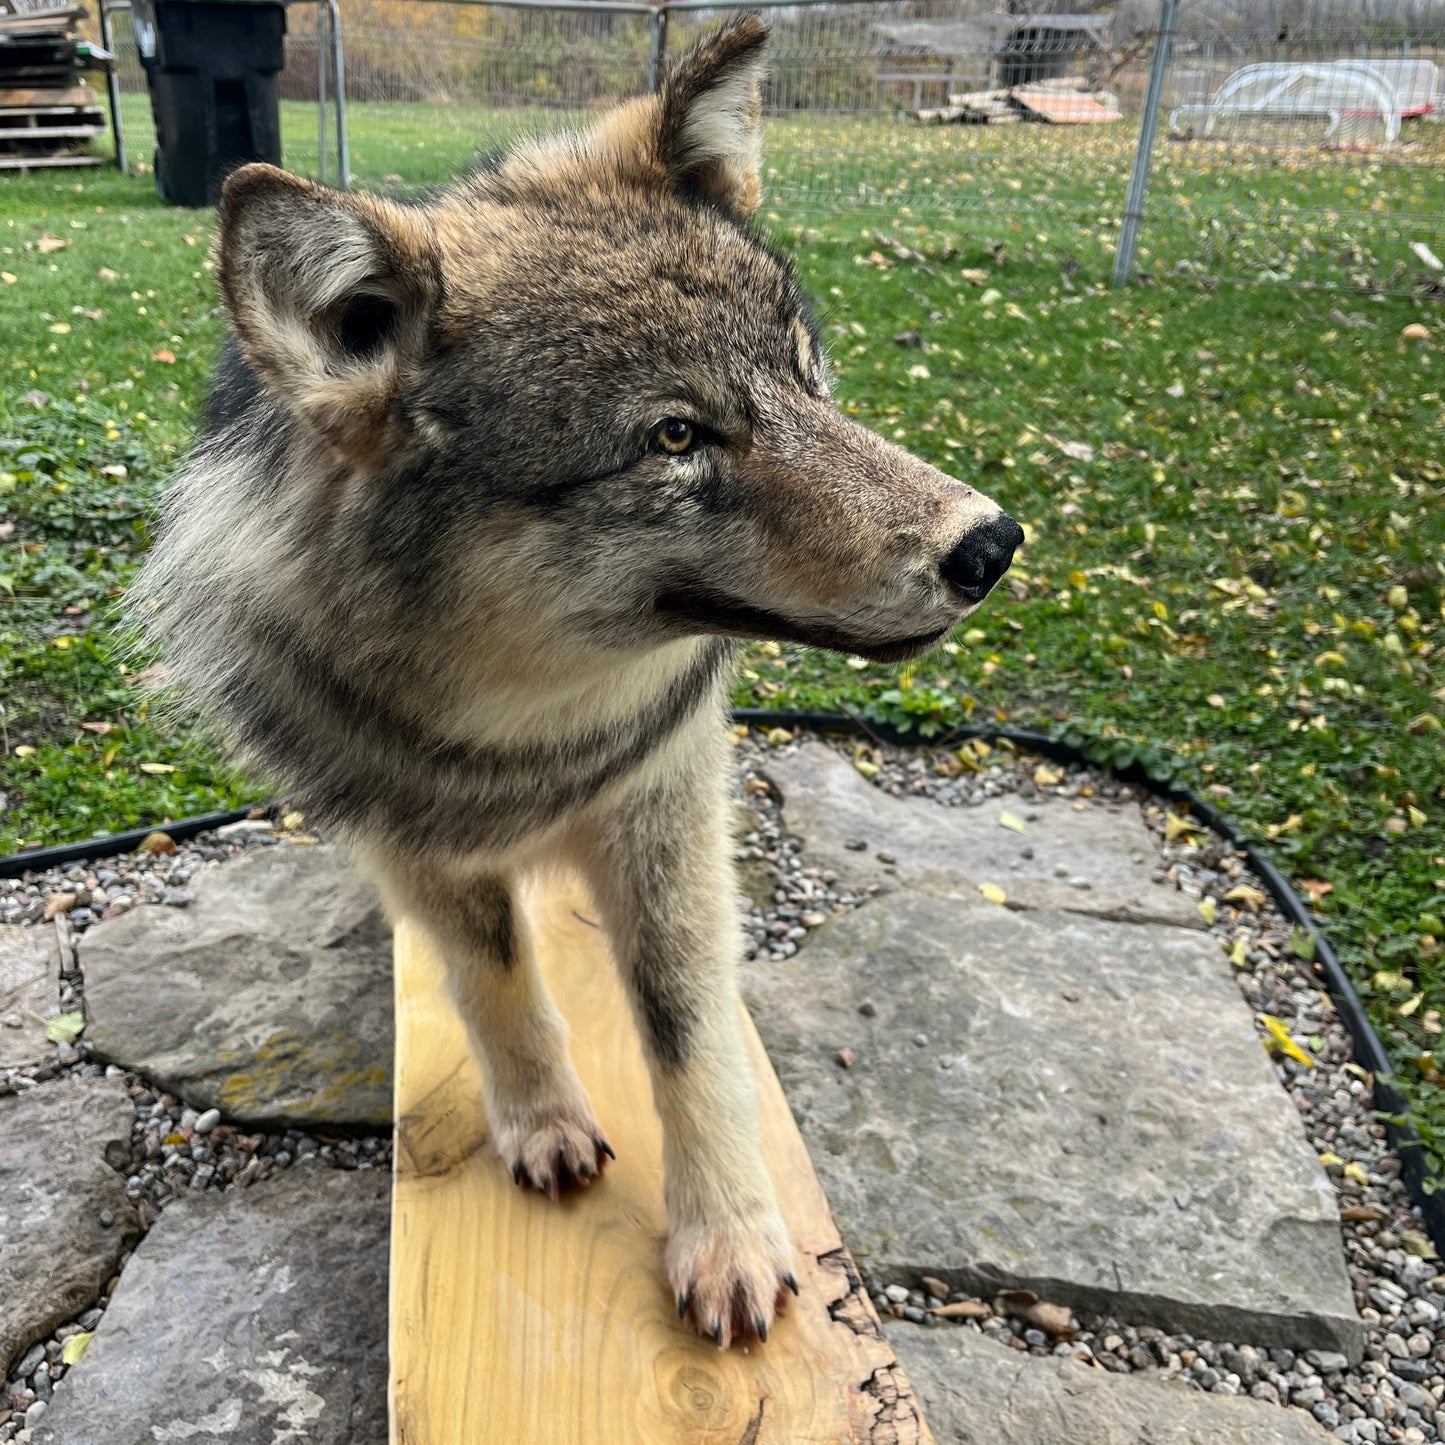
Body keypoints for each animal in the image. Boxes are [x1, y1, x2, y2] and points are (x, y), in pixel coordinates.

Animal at [132, 14, 1017, 1340]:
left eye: (807, 378)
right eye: (675, 438)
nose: (990, 544)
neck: (526, 728)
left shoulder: (664, 798)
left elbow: (687, 1025)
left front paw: (728, 1234)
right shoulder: (418, 840)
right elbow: (497, 979)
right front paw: (541, 1122)